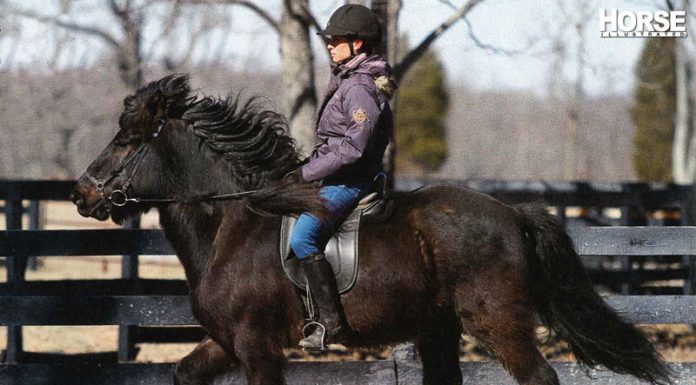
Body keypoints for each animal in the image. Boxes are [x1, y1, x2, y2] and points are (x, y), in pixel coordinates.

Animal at [72, 74, 676, 384]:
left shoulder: (255, 344)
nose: (81, 194)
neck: (230, 224)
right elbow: (183, 373)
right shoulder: (224, 341)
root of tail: (512, 213)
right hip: (438, 328)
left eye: (126, 140)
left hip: (496, 321)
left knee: (539, 377)